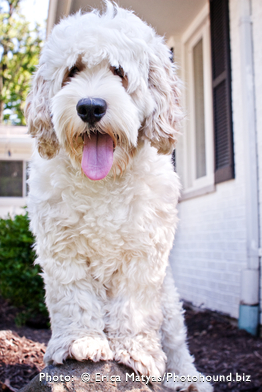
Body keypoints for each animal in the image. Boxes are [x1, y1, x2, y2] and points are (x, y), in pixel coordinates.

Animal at [25, 3, 212, 392]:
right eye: (73, 70)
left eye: (119, 71)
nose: (90, 107)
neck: (104, 181)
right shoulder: (62, 250)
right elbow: (75, 298)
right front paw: (81, 342)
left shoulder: (144, 253)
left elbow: (135, 307)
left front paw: (135, 351)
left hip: (169, 302)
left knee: (176, 343)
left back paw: (185, 378)